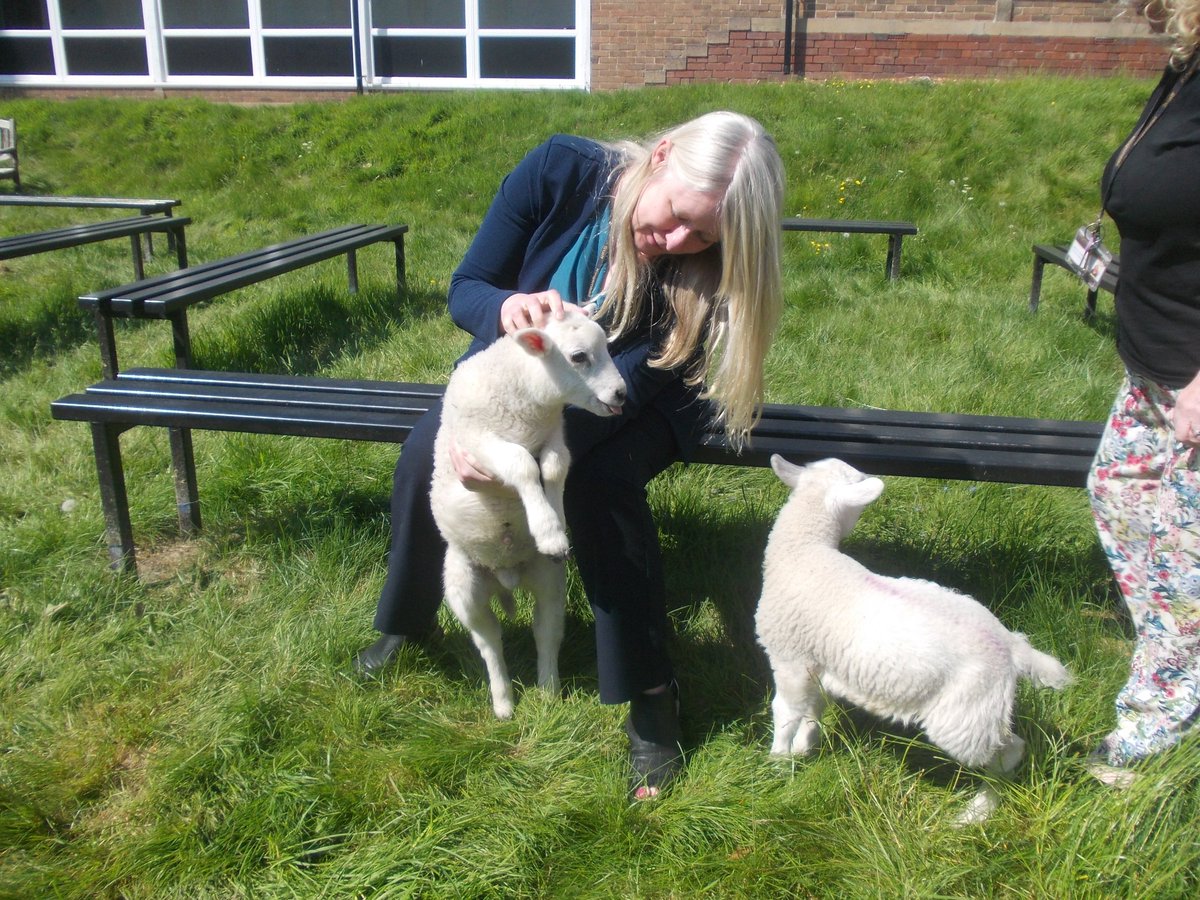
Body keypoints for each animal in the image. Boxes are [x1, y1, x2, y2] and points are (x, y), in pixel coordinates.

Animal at [430, 306, 627, 719]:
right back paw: (504, 701)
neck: (531, 407)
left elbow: (553, 467)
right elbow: (521, 464)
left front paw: (554, 525)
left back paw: (548, 691)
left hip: (549, 581)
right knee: (488, 640)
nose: (622, 394)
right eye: (578, 356)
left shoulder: (554, 434)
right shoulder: (480, 443)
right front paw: (548, 528)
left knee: (546, 630)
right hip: (462, 585)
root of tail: (506, 576)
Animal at [754, 454, 1072, 824]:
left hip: (965, 717)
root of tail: (1010, 646)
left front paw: (778, 761)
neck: (804, 550)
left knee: (1009, 753)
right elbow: (813, 709)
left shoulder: (790, 656)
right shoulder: (818, 662)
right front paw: (803, 748)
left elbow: (785, 712)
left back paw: (976, 812)